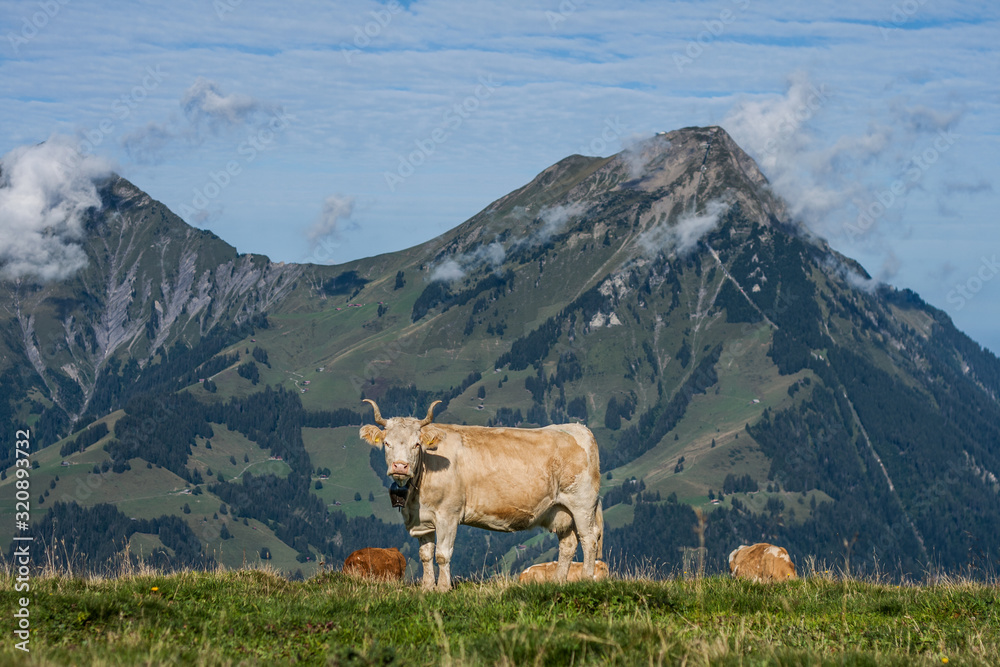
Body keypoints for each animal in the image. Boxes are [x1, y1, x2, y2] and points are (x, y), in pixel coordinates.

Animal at [360, 400, 600, 592]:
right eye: (387, 443)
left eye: (416, 444)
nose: (400, 466)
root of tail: (579, 428)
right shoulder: (423, 520)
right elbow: (426, 555)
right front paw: (427, 588)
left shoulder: (448, 515)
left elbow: (442, 554)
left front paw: (443, 589)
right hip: (560, 510)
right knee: (568, 544)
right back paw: (558, 581)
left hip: (582, 504)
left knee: (589, 539)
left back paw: (587, 578)